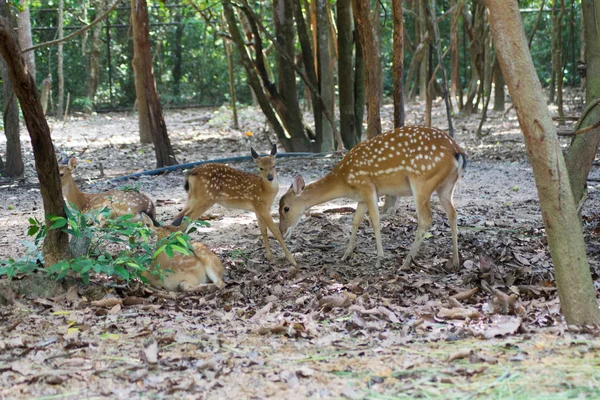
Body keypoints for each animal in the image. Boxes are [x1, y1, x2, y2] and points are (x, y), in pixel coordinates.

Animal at [278, 125, 466, 268]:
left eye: (286, 208)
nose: (282, 232)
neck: (345, 180)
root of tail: (457, 151)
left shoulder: (366, 185)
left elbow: (375, 220)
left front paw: (379, 259)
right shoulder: (361, 198)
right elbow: (355, 220)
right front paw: (345, 254)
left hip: (422, 181)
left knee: (426, 218)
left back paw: (406, 262)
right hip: (447, 186)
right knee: (452, 213)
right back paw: (455, 261)